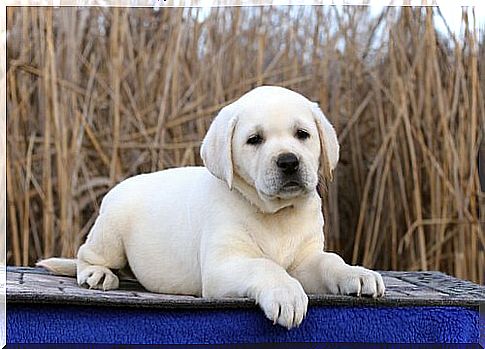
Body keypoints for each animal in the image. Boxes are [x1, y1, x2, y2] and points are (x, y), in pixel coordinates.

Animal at [37, 85, 384, 328]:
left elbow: (330, 262)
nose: (288, 161)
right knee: (86, 254)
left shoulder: (305, 260)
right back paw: (97, 274)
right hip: (110, 233)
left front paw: (357, 274)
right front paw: (286, 294)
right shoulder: (223, 266)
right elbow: (264, 265)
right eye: (254, 139)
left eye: (302, 134)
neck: (276, 214)